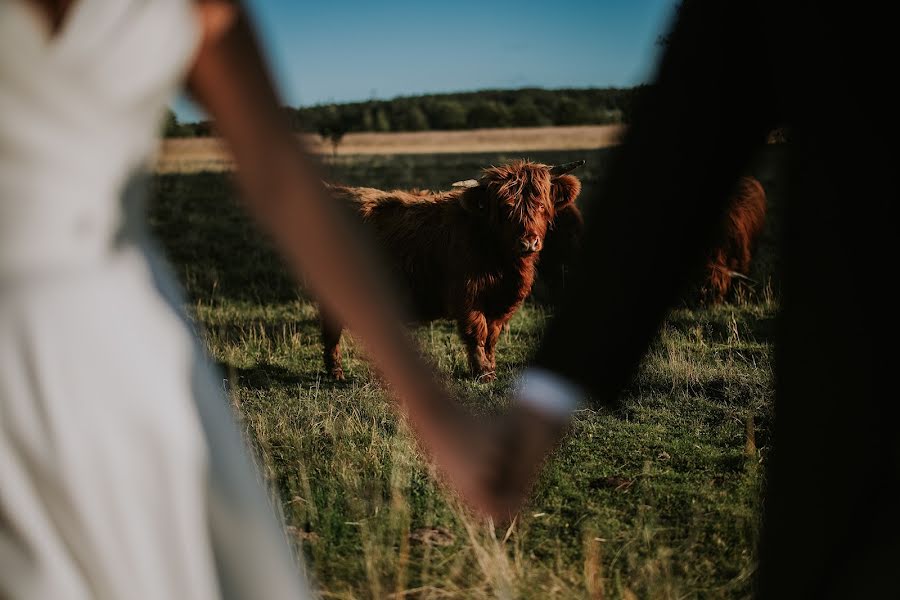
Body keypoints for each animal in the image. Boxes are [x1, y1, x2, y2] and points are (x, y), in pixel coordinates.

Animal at [322, 159, 584, 380]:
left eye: (540, 205)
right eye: (506, 209)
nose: (529, 242)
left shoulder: (502, 302)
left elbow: (492, 335)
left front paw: (491, 366)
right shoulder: (467, 297)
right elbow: (477, 332)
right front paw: (483, 373)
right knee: (332, 326)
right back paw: (336, 372)